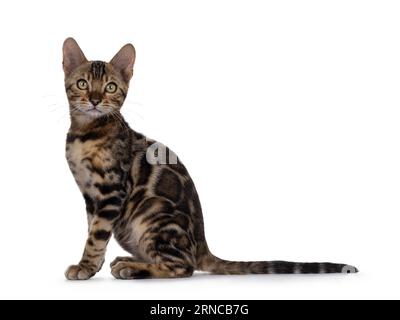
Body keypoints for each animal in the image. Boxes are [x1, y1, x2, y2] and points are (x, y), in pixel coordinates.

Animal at [63, 38, 360, 280]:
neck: (86, 134)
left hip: (152, 214)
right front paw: (93, 267)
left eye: (111, 87)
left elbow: (97, 235)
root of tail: (202, 245)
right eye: (83, 84)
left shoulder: (112, 191)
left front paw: (85, 267)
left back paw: (134, 268)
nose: (95, 100)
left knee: (184, 266)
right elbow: (93, 231)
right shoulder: (91, 197)